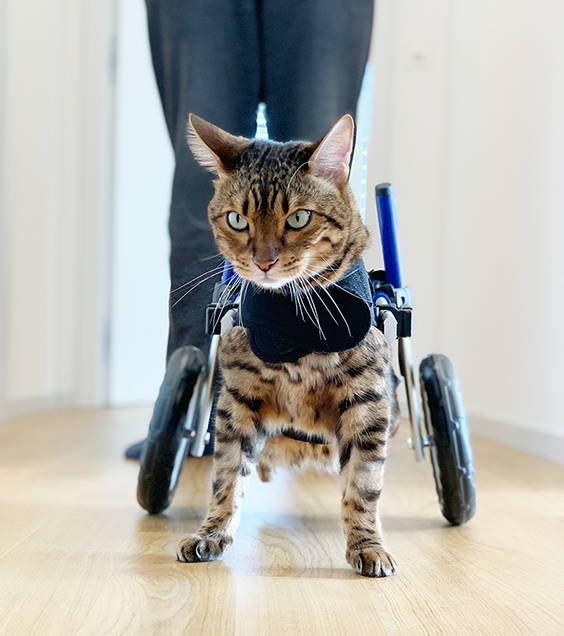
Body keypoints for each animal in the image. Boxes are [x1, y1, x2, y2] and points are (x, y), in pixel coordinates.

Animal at [176, 113, 396, 576]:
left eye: (298, 219)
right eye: (236, 220)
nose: (263, 261)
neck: (294, 328)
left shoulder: (368, 405)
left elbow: (363, 485)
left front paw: (367, 545)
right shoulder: (236, 403)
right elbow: (225, 477)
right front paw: (211, 534)